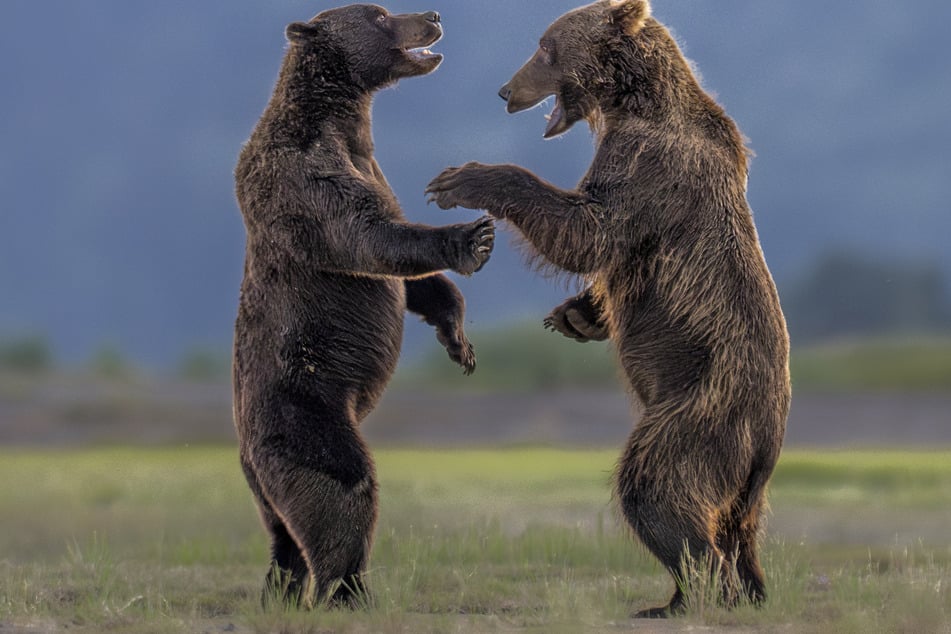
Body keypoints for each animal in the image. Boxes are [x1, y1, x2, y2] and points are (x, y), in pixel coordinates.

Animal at [233, 4, 495, 608]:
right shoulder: (305, 175)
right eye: (377, 15)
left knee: (282, 533)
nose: (433, 14)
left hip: (260, 477)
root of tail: (243, 446)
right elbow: (368, 237)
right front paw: (472, 238)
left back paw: (282, 590)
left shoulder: (369, 164)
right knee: (341, 486)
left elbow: (411, 280)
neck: (344, 120)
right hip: (302, 404)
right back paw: (347, 590)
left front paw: (459, 343)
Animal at [426, 0, 790, 617]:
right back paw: (731, 591)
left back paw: (694, 595)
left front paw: (460, 178)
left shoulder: (648, 167)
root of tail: (768, 441)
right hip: (743, 474)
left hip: (703, 404)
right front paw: (574, 316)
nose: (505, 90)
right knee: (738, 527)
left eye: (545, 47)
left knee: (656, 485)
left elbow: (588, 230)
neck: (631, 102)